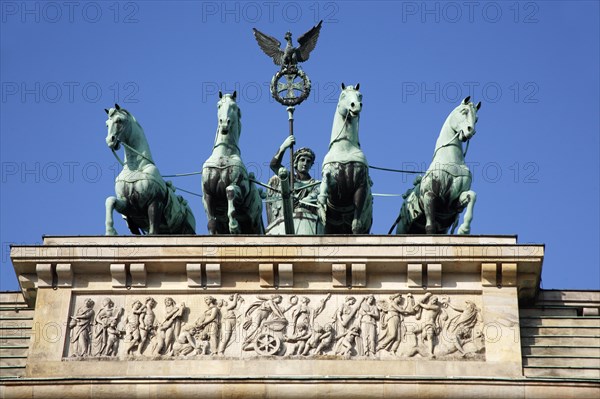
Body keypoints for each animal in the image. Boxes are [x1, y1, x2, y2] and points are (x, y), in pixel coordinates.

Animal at [104, 104, 196, 236]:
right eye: (107, 124)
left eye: (119, 120)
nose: (110, 140)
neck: (136, 168)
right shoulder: (129, 206)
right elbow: (110, 200)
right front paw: (110, 231)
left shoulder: (154, 202)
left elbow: (153, 232)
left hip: (187, 230)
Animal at [203, 92, 264, 234]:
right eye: (219, 106)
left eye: (234, 107)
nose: (225, 123)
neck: (223, 154)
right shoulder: (207, 194)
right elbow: (211, 223)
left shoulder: (240, 188)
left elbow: (229, 190)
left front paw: (234, 225)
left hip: (255, 225)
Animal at [318, 84, 370, 234]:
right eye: (343, 95)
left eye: (360, 95)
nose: (356, 105)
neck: (345, 148)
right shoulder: (335, 186)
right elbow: (326, 182)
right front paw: (321, 203)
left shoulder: (361, 186)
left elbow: (356, 225)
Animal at [392, 97, 480, 234]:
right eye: (464, 111)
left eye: (476, 119)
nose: (470, 131)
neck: (451, 160)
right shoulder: (429, 195)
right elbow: (430, 227)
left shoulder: (452, 203)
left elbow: (472, 195)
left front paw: (464, 229)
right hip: (403, 228)